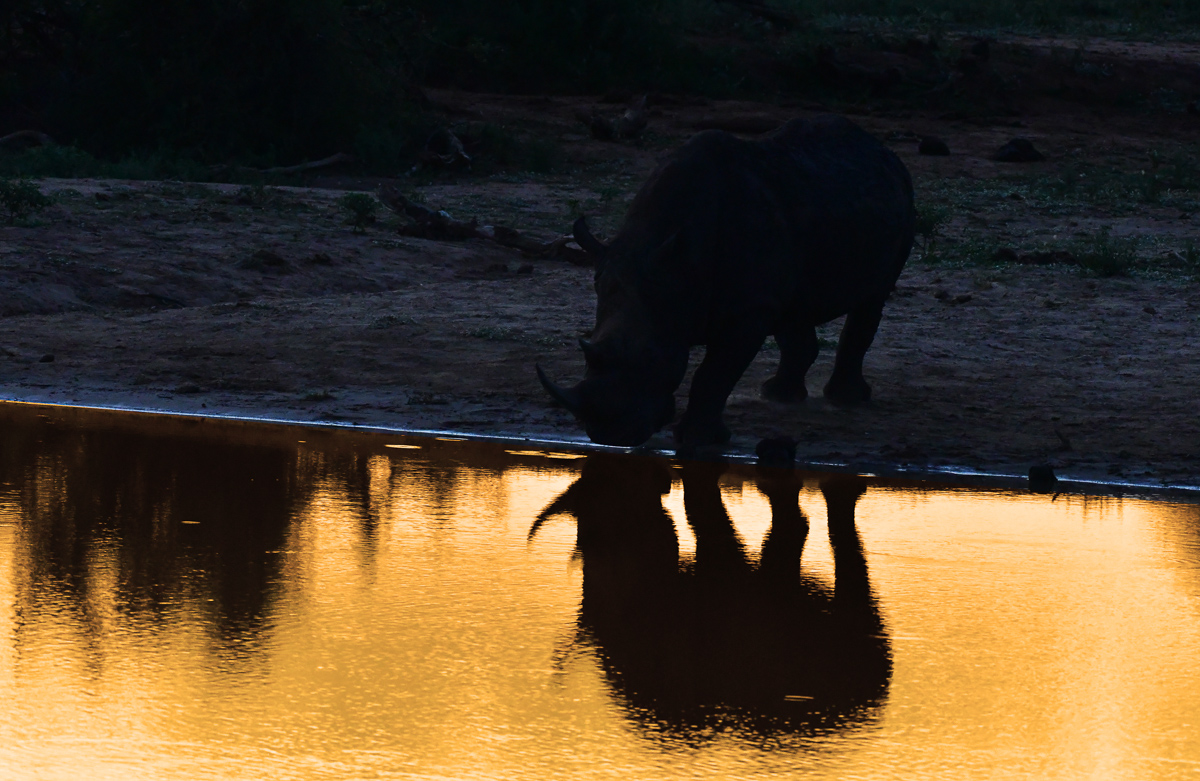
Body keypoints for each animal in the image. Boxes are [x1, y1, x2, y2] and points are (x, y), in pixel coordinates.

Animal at [537, 114, 915, 447]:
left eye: (652, 358)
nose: (610, 436)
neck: (676, 268)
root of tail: (880, 148)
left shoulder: (747, 312)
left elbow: (713, 375)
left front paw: (699, 440)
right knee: (794, 307)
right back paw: (779, 396)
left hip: (904, 196)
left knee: (872, 298)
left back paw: (846, 400)